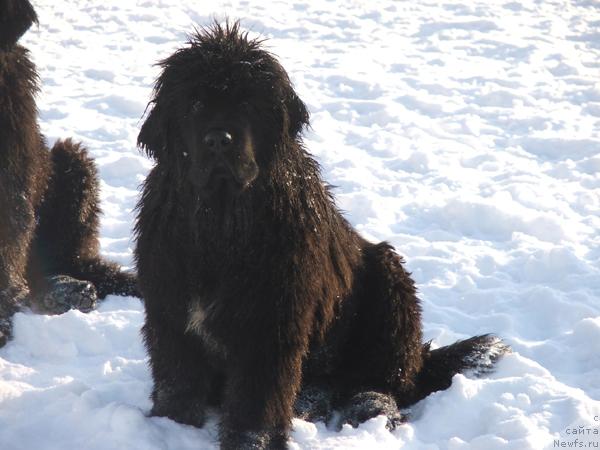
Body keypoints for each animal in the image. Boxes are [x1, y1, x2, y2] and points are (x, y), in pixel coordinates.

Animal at [136, 21, 506, 450]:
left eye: (247, 103)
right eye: (193, 102)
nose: (218, 140)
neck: (222, 223)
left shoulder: (271, 319)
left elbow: (257, 395)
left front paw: (252, 440)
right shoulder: (169, 306)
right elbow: (178, 379)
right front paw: (169, 427)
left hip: (389, 283)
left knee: (389, 380)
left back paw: (368, 406)